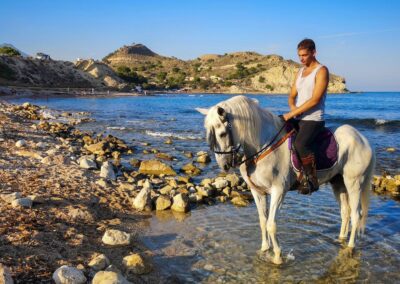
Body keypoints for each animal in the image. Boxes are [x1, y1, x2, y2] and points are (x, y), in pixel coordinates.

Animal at [197, 95, 376, 264]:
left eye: (222, 133)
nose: (224, 165)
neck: (263, 146)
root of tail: (362, 139)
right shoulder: (257, 192)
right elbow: (263, 221)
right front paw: (264, 249)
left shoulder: (279, 191)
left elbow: (271, 225)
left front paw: (277, 256)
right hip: (338, 182)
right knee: (345, 212)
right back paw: (341, 240)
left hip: (354, 183)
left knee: (356, 214)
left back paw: (350, 247)